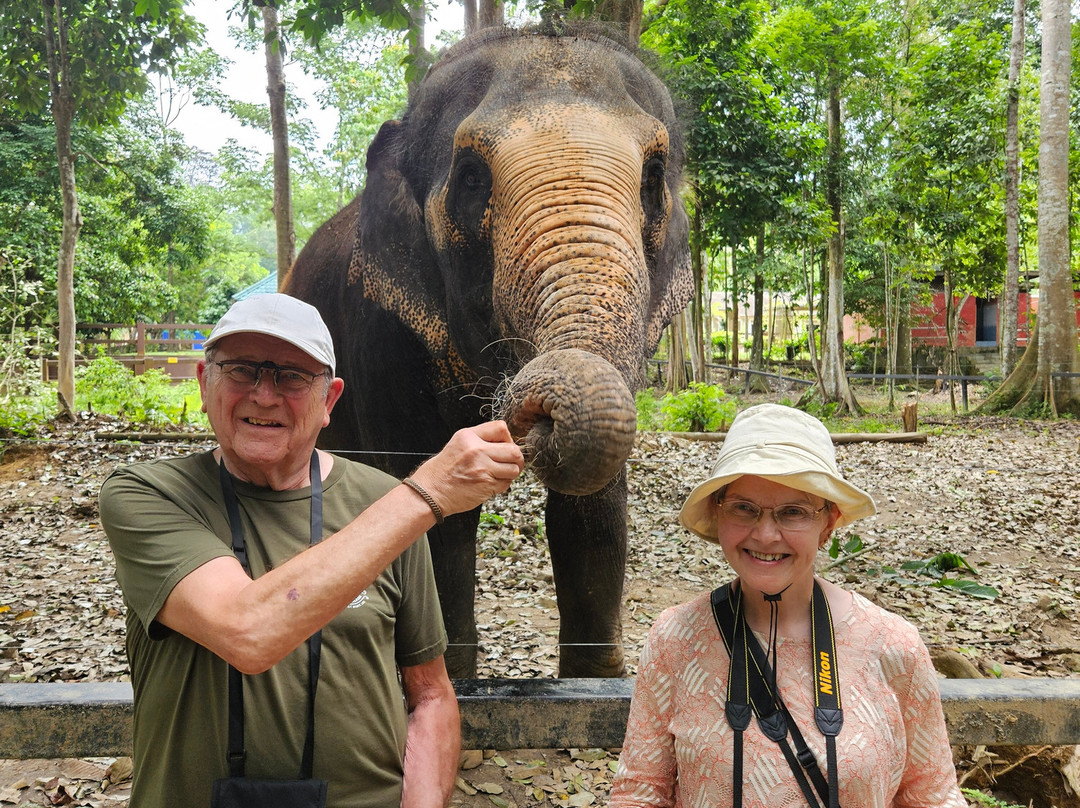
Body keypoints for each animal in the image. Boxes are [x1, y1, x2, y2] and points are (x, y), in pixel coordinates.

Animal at [283, 24, 692, 678]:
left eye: (654, 176)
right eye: (472, 176)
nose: (531, 412)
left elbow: (595, 504)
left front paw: (596, 686)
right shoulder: (381, 332)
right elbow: (431, 502)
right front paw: (453, 684)